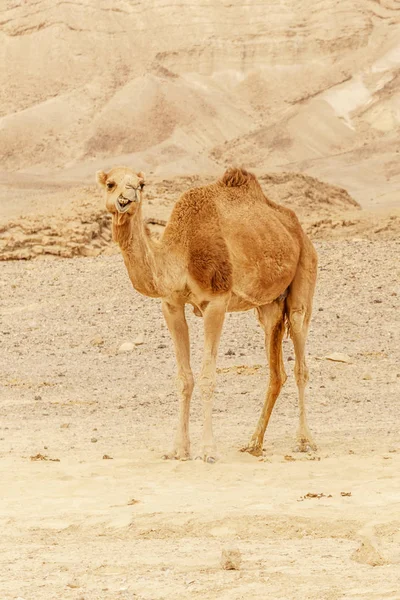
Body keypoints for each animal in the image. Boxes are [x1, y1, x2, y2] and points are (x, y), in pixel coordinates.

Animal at [97, 166, 318, 462]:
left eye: (141, 185)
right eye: (111, 184)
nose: (128, 196)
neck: (181, 255)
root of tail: (298, 230)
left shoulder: (216, 302)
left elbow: (207, 377)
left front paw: (208, 451)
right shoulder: (171, 305)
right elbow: (184, 378)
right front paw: (179, 449)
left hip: (304, 273)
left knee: (300, 362)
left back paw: (304, 441)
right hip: (269, 306)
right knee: (276, 371)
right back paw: (254, 443)